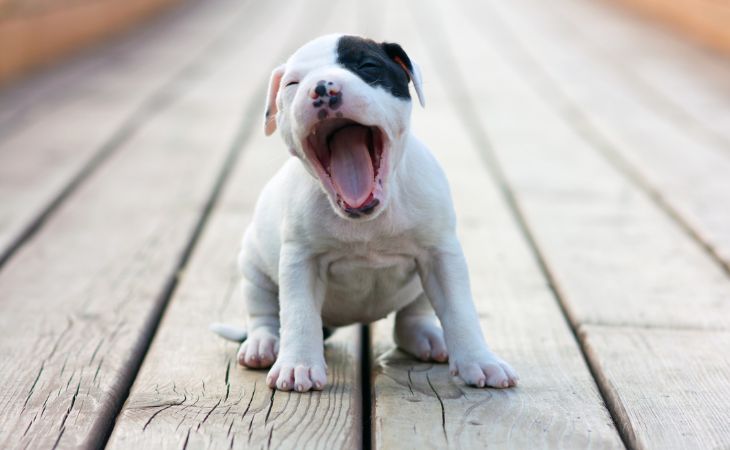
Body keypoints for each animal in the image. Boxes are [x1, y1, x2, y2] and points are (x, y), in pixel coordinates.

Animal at [212, 34, 516, 390]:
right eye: (292, 84)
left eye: (368, 67)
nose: (322, 88)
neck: (368, 219)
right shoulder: (300, 262)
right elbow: (299, 314)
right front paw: (298, 365)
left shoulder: (442, 255)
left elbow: (460, 310)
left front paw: (480, 361)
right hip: (253, 266)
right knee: (264, 313)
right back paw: (263, 344)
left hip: (421, 285)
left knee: (411, 319)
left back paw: (429, 338)